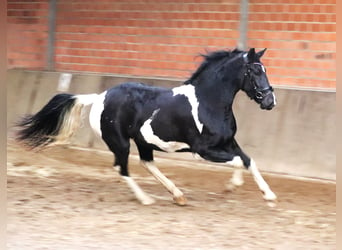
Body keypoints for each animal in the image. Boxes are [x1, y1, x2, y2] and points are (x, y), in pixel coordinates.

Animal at [15, 47, 278, 205]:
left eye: (265, 69)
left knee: (146, 163)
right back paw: (146, 199)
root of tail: (100, 97)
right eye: (254, 71)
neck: (208, 101)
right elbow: (240, 162)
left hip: (143, 141)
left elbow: (249, 160)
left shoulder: (228, 142)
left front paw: (269, 194)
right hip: (120, 142)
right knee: (122, 168)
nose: (270, 101)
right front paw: (232, 187)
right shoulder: (203, 150)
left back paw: (177, 195)